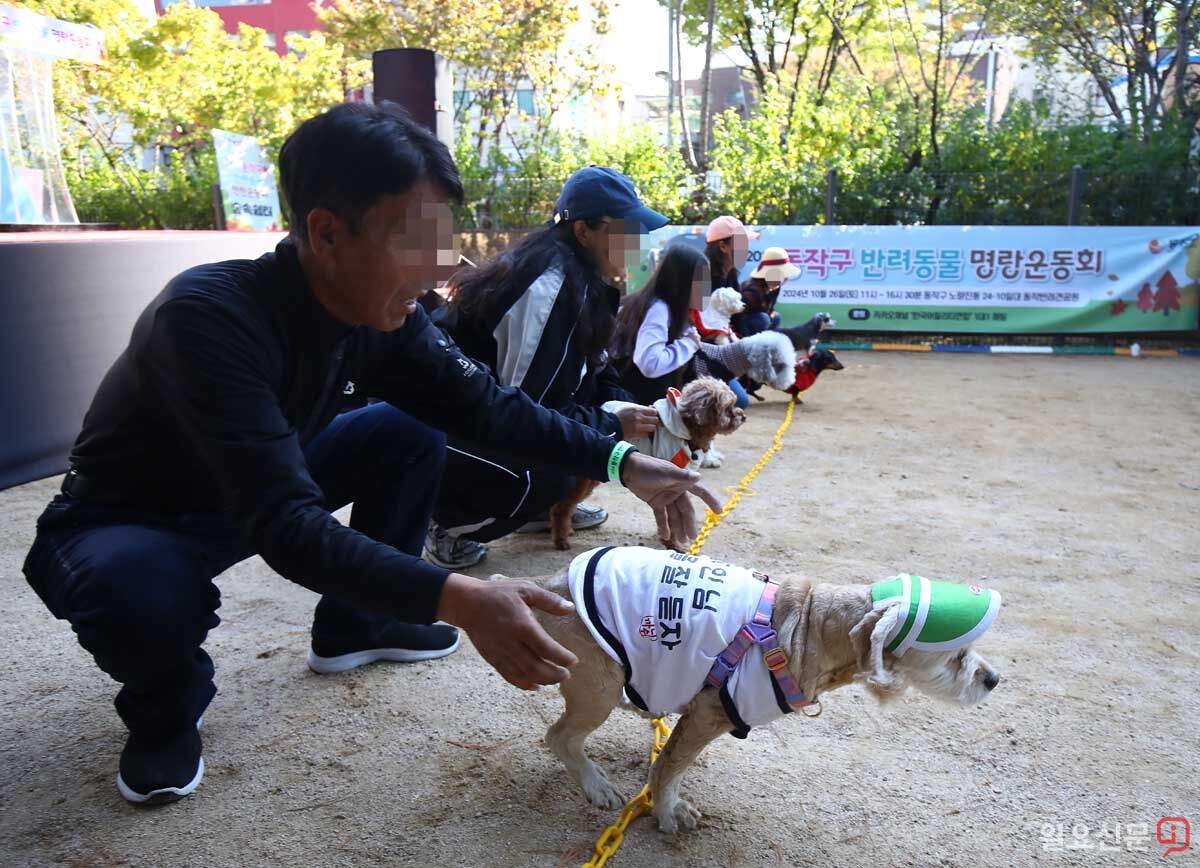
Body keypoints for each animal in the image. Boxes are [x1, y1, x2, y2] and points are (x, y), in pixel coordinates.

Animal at [516, 549, 1003, 835]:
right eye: (958, 656)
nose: (994, 679)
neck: (811, 627)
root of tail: (547, 585)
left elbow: (670, 764)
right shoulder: (710, 713)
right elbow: (669, 769)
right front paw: (670, 813)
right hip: (599, 686)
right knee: (560, 737)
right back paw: (597, 787)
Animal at [549, 379, 739, 552]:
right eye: (728, 408)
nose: (742, 416)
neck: (685, 429)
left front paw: (665, 538)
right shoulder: (674, 480)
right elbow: (672, 518)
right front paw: (674, 544)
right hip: (586, 478)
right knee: (562, 507)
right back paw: (561, 540)